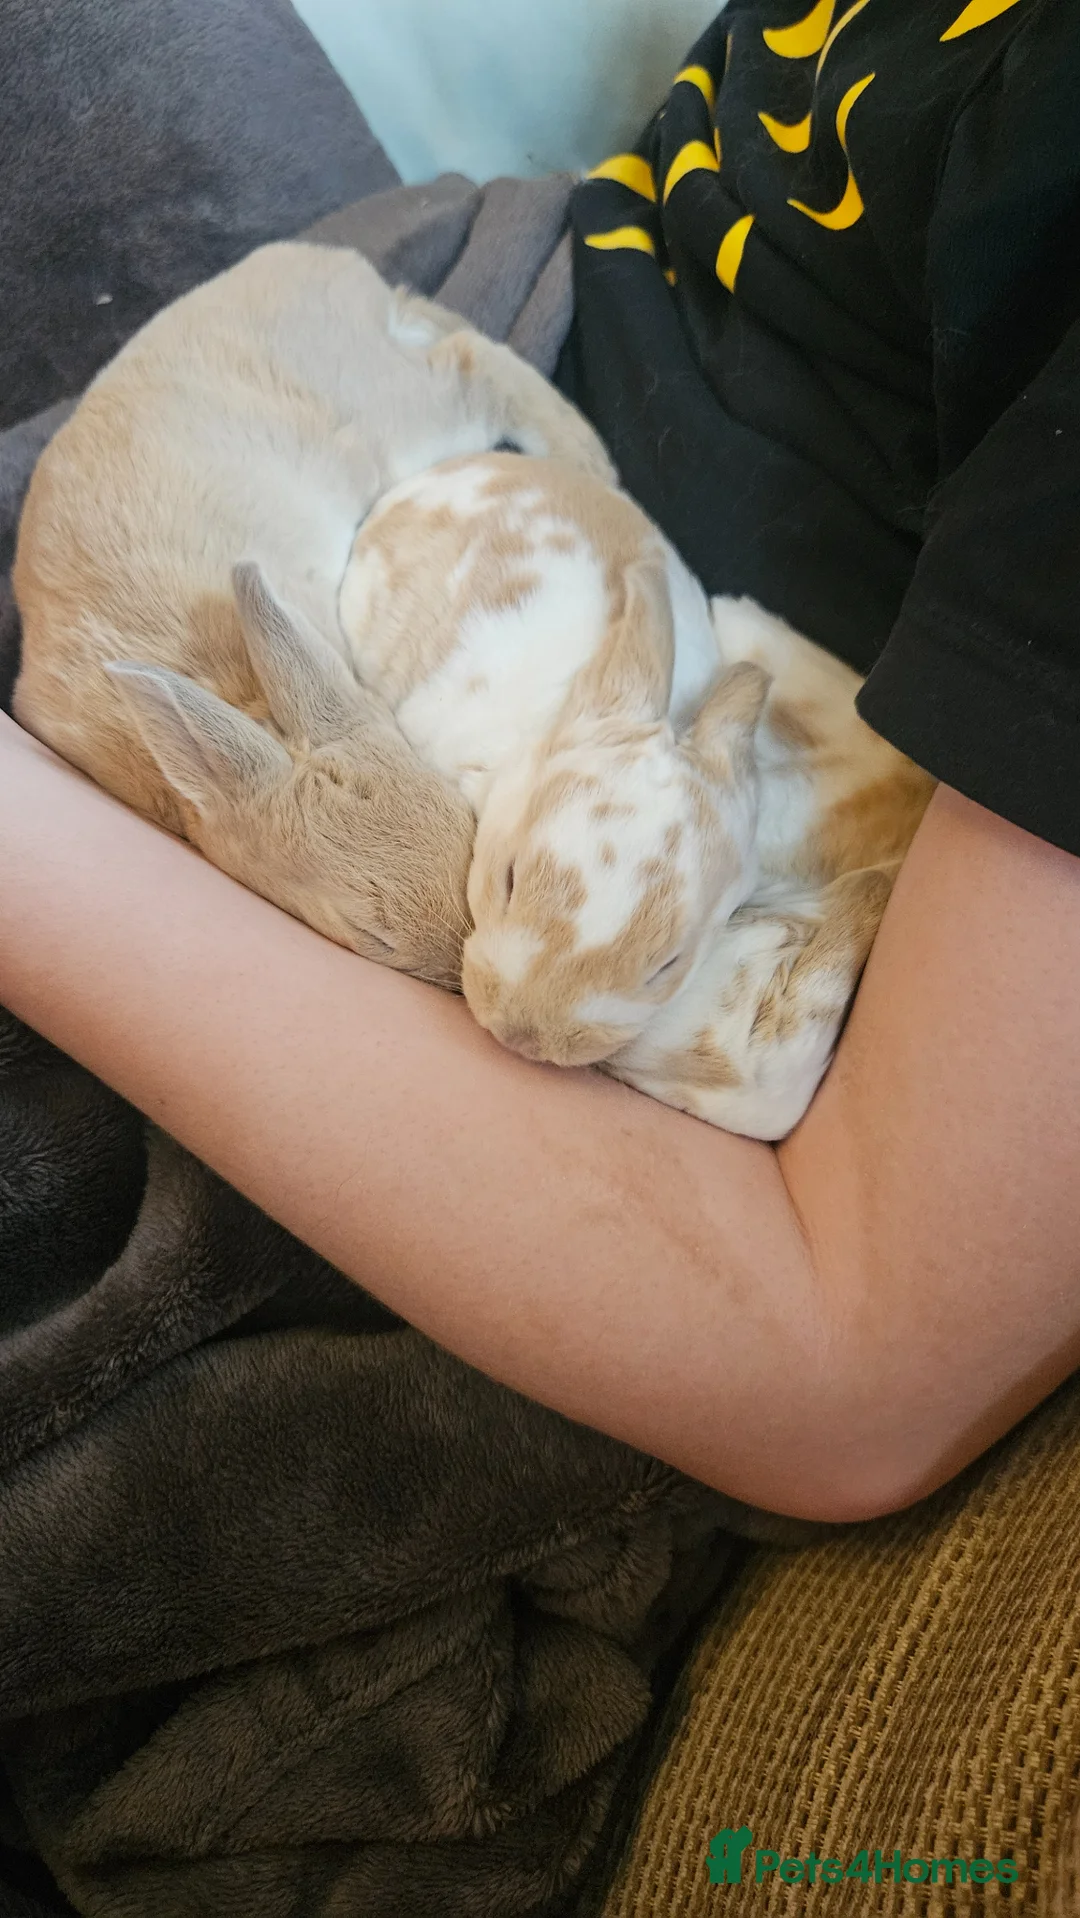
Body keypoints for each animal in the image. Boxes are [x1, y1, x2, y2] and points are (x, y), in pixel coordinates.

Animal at [12, 240, 615, 984]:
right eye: (370, 936)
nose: (458, 973)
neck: (247, 705)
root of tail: (325, 263)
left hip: (395, 418)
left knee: (469, 364)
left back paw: (594, 463)